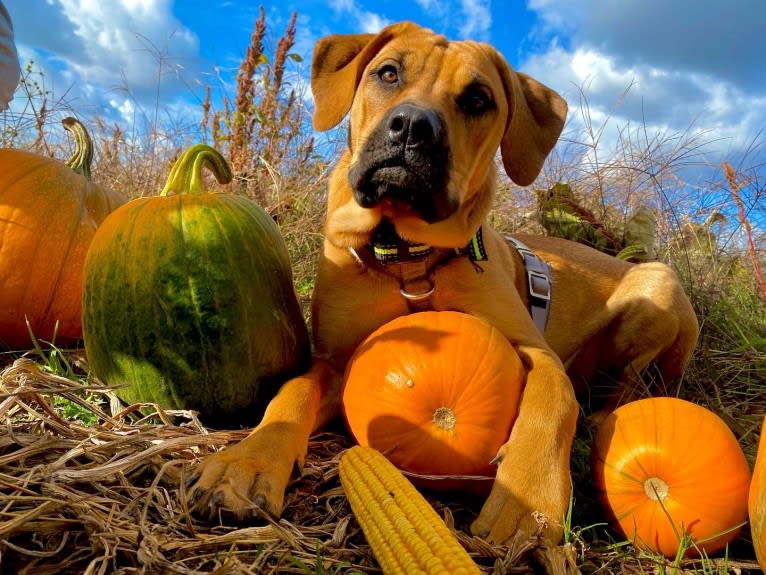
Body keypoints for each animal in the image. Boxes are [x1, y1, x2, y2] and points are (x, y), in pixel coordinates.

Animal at [188, 22, 704, 552]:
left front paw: (528, 499)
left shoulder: (536, 351)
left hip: (658, 285)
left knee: (632, 383)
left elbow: (553, 400)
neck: (409, 259)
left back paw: (603, 417)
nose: (413, 126)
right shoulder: (334, 362)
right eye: (387, 73)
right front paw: (246, 462)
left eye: (477, 99)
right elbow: (291, 394)